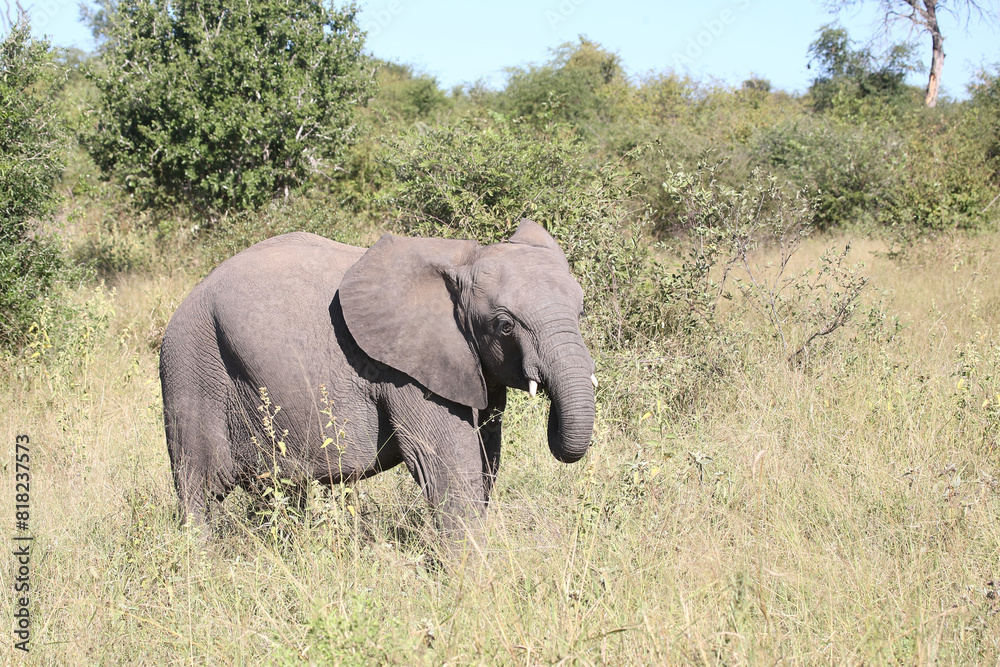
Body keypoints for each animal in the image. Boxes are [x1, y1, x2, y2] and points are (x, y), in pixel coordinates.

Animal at [156, 219, 592, 536]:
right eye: (504, 325)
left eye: (581, 311)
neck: (461, 259)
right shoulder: (406, 371)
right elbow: (447, 466)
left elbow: (486, 457)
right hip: (190, 367)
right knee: (199, 489)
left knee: (279, 489)